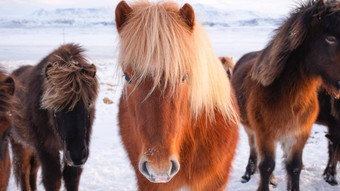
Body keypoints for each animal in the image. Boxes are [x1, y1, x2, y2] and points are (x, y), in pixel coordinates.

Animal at [9, 43, 97, 191]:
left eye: (89, 102)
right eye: (55, 106)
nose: (77, 155)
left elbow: (71, 178)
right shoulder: (46, 148)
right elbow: (52, 180)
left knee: (32, 172)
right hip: (19, 144)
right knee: (24, 171)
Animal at [231, 0, 340, 190]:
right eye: (330, 38)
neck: (289, 98)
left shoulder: (298, 136)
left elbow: (294, 167)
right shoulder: (265, 134)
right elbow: (266, 166)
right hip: (251, 129)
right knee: (254, 151)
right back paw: (248, 174)